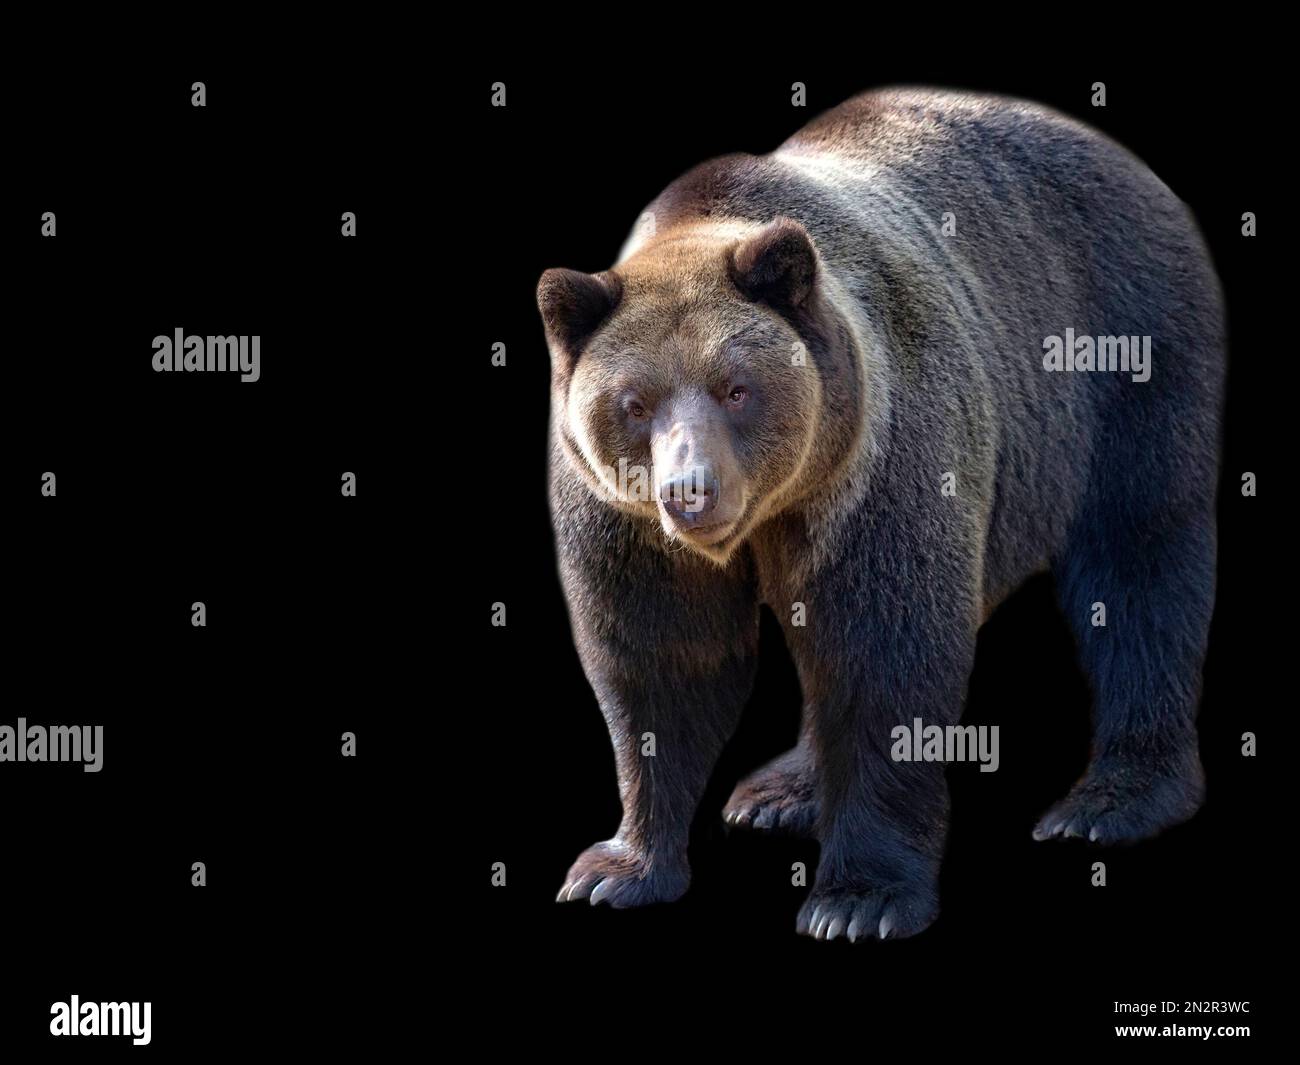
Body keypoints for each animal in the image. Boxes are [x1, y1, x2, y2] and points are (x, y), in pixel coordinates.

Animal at [537, 88, 1224, 941]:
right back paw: (781, 791)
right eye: (634, 403)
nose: (690, 489)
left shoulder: (879, 463)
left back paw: (1110, 802)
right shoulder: (628, 528)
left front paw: (858, 900)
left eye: (737, 387)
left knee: (1140, 564)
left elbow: (884, 655)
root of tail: (1130, 165)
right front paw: (615, 869)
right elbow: (664, 659)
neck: (777, 506)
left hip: (1129, 356)